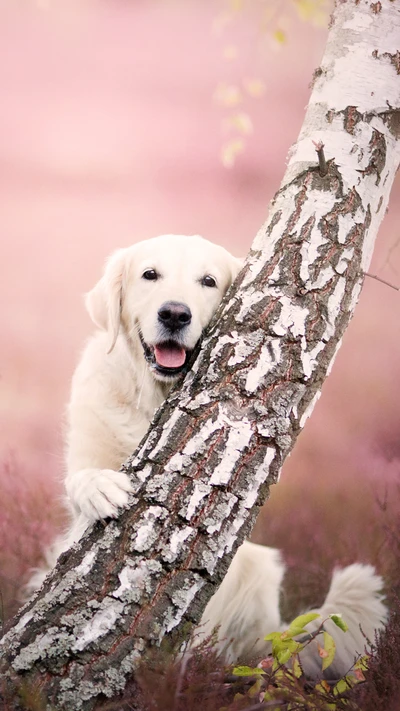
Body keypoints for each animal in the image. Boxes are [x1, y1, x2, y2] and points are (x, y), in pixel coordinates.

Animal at [26, 235, 386, 680]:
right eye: (150, 274)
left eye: (209, 281)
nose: (175, 314)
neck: (156, 398)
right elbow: (81, 478)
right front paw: (99, 487)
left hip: (259, 572)